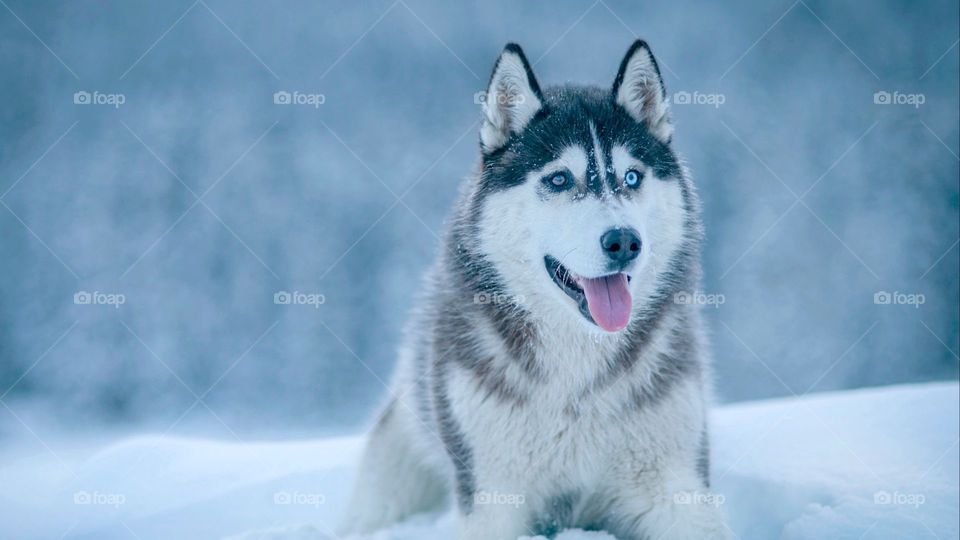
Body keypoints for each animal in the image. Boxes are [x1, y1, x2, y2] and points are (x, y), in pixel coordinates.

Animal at [339, 41, 729, 540]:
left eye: (632, 177)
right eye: (559, 179)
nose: (624, 241)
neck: (576, 376)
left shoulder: (675, 482)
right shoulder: (493, 495)